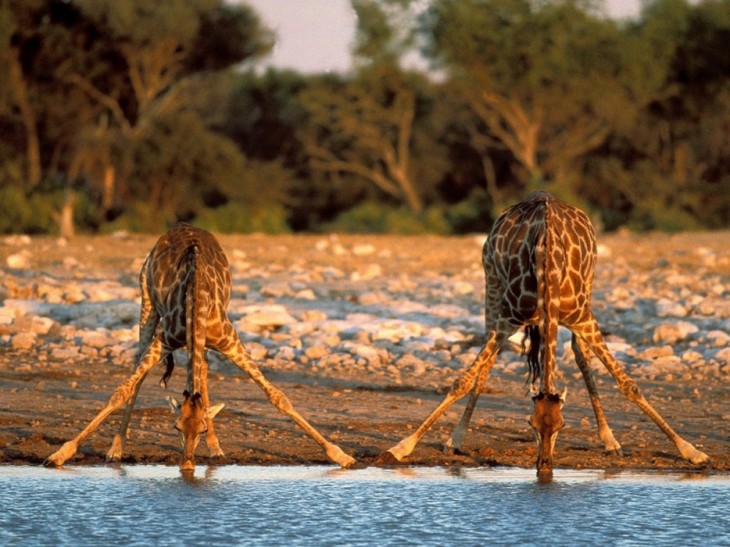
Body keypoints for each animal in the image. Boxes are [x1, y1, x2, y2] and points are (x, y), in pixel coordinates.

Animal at [42, 224, 356, 470]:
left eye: (202, 428)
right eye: (175, 426)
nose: (187, 464)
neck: (196, 297)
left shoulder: (230, 340)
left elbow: (278, 397)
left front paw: (341, 456)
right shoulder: (164, 340)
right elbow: (121, 391)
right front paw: (60, 455)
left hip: (200, 338)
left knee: (202, 374)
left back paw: (216, 448)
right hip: (147, 302)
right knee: (139, 372)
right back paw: (116, 449)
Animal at [384, 191, 708, 474]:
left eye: (562, 425)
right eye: (531, 424)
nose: (544, 465)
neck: (548, 265)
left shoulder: (583, 318)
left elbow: (629, 385)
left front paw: (692, 451)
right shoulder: (507, 319)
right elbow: (461, 381)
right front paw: (403, 446)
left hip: (588, 288)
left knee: (579, 354)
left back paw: (610, 440)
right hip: (492, 283)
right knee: (488, 360)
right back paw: (456, 438)